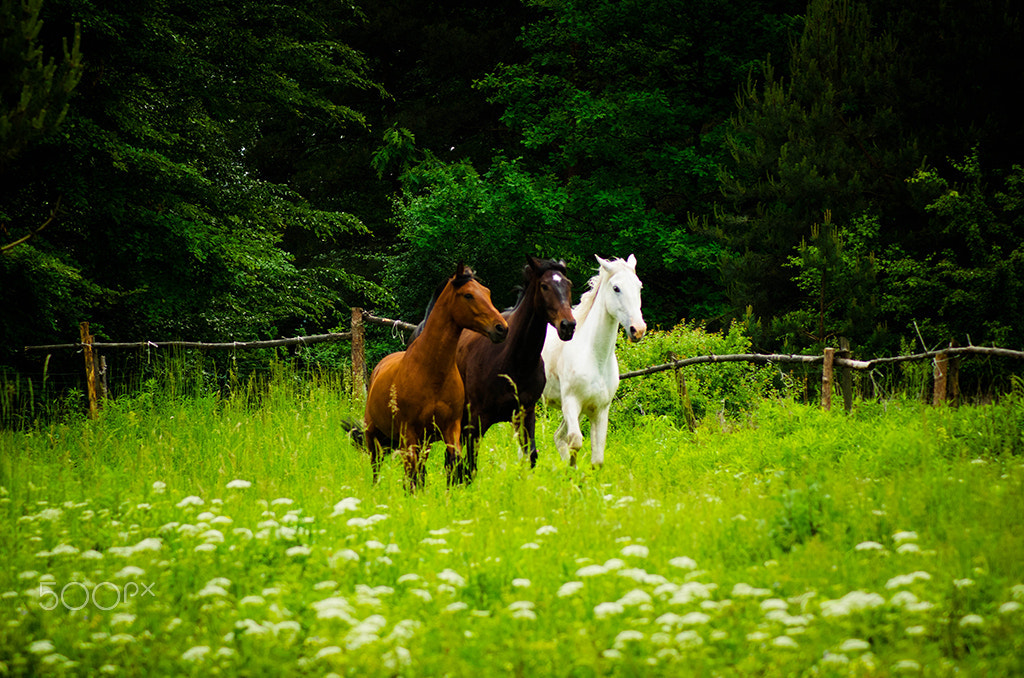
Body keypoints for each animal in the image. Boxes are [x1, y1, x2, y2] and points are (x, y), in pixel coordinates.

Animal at [364, 262, 507, 491]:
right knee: (377, 467)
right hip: (373, 435)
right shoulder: (409, 433)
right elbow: (413, 473)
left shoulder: (450, 428)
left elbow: (454, 462)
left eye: (487, 292)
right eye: (468, 295)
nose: (501, 328)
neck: (431, 372)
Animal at [454, 256, 577, 483]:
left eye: (568, 284)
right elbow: (470, 463)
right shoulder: (477, 419)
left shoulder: (525, 412)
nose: (568, 325)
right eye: (544, 286)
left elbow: (531, 455)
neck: (515, 359)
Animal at [540, 255, 643, 467]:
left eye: (639, 286)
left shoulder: (600, 409)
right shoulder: (571, 403)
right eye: (616, 288)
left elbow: (597, 457)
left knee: (557, 437)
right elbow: (575, 441)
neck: (595, 357)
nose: (638, 329)